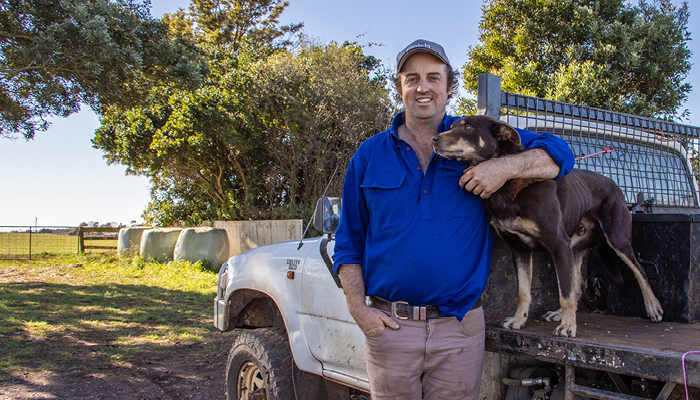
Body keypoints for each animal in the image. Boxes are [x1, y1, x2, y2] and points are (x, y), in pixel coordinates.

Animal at [432, 115, 660, 338]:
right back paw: (559, 314)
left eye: (467, 127)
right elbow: (524, 291)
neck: (507, 182)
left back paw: (653, 307)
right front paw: (519, 319)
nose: (434, 138)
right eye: (452, 126)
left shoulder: (559, 244)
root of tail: (614, 184)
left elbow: (564, 293)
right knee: (578, 286)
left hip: (616, 239)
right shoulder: (520, 249)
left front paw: (568, 326)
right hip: (575, 249)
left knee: (639, 271)